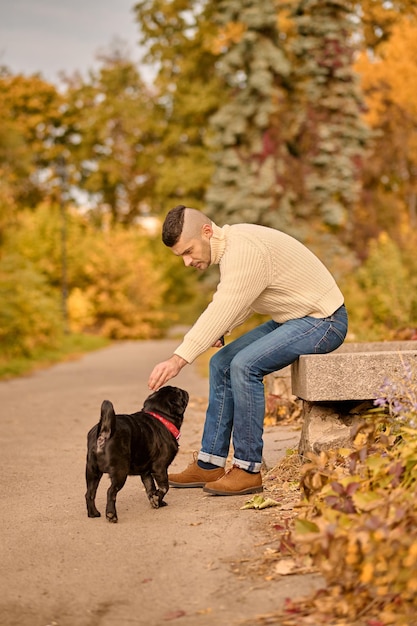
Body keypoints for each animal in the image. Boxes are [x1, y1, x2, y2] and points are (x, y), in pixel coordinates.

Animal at [84, 386, 188, 520]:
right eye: (179, 392)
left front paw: (157, 502)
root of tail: (104, 434)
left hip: (92, 472)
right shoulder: (160, 468)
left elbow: (150, 488)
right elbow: (164, 487)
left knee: (90, 493)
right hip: (120, 472)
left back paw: (93, 513)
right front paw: (157, 499)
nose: (184, 390)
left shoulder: (146, 473)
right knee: (111, 492)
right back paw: (111, 515)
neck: (162, 417)